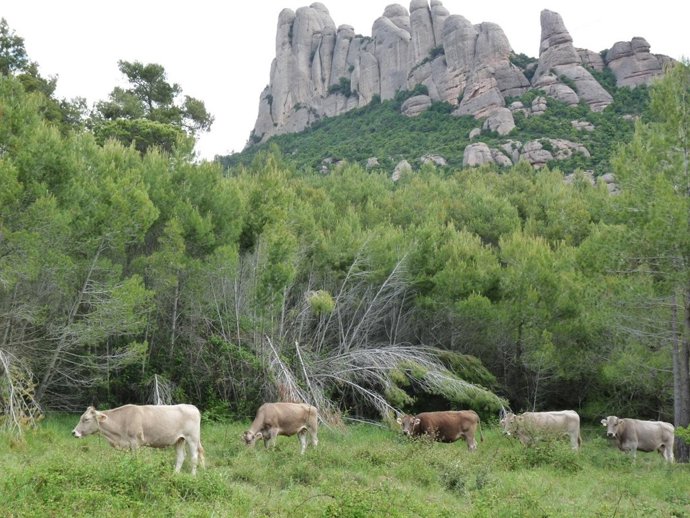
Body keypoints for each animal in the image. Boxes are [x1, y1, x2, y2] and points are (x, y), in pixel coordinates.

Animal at [72, 404, 205, 474]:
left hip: (192, 438)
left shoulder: (135, 442)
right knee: (181, 456)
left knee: (194, 457)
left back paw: (193, 476)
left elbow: (135, 460)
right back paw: (175, 474)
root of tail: (192, 407)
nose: (74, 432)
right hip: (179, 440)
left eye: (86, 419)